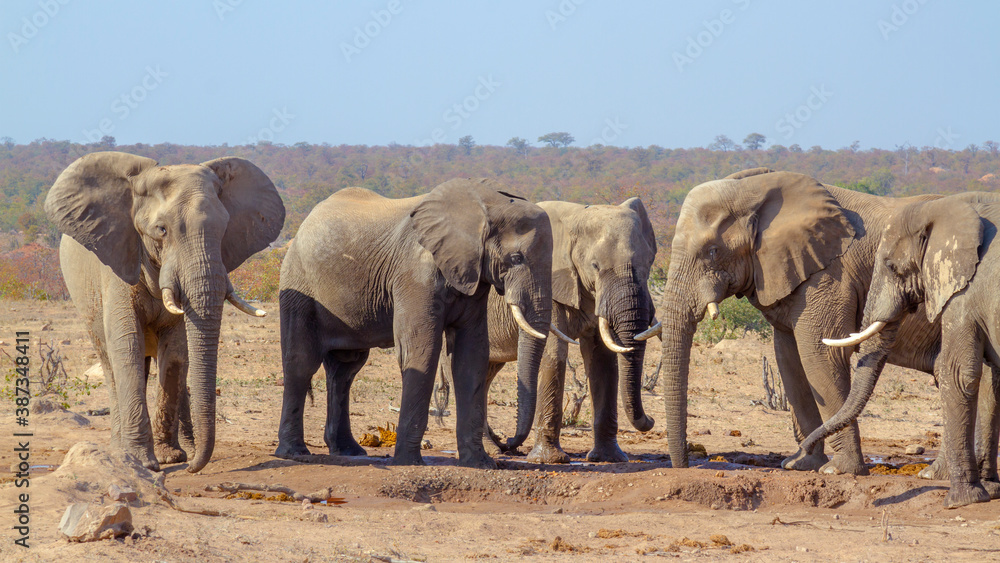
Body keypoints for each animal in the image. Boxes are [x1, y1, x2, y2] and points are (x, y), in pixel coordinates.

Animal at [48, 150, 288, 472]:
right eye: (161, 230)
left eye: (224, 229)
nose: (193, 468)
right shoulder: (118, 263)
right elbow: (127, 345)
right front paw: (143, 462)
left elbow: (176, 352)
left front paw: (170, 457)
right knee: (110, 362)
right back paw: (120, 450)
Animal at [276, 178, 556, 470]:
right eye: (516, 258)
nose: (508, 444)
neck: (488, 203)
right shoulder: (414, 273)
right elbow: (421, 350)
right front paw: (409, 462)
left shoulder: (473, 276)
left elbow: (471, 356)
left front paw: (481, 463)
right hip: (298, 285)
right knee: (301, 363)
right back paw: (294, 451)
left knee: (345, 369)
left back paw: (348, 450)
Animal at [436, 198, 656, 462]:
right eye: (595, 266)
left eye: (649, 264)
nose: (651, 420)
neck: (575, 218)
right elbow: (554, 356)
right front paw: (550, 459)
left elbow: (603, 359)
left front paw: (609, 458)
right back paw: (494, 449)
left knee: (486, 373)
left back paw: (498, 446)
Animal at [648, 169, 960, 476]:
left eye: (712, 251)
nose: (684, 465)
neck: (754, 188)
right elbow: (790, 358)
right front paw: (800, 464)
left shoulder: (829, 274)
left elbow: (819, 354)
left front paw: (839, 471)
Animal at [792, 194, 1000, 512]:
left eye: (890, 265)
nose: (800, 452)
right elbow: (992, 379)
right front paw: (988, 491)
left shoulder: (964, 294)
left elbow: (958, 373)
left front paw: (960, 501)